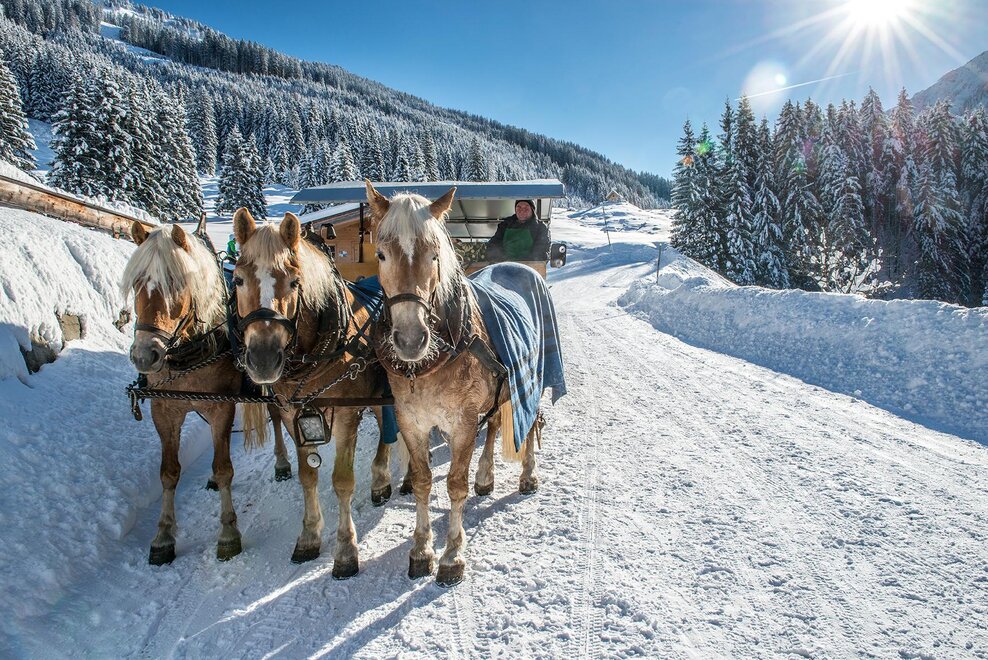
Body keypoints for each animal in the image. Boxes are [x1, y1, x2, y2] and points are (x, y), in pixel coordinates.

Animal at [122, 221, 293, 565]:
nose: (145, 356)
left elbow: (224, 467)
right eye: (136, 283)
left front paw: (228, 533)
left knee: (276, 416)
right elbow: (168, 472)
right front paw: (163, 536)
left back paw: (282, 463)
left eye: (176, 282)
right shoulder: (164, 411)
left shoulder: (220, 408)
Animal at [231, 208, 397, 576]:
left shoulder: (348, 412)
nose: (263, 359)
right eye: (237, 280)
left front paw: (346, 551)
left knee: (388, 429)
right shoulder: (293, 413)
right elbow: (308, 477)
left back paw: (382, 480)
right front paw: (309, 536)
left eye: (294, 281)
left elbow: (342, 480)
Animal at [366, 181, 558, 586]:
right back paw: (486, 476)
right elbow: (423, 481)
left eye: (435, 254)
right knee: (497, 423)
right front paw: (421, 550)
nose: (411, 340)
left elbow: (455, 484)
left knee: (529, 422)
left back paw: (528, 474)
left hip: (532, 376)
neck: (431, 363)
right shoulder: (411, 421)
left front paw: (452, 555)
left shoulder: (463, 423)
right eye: (381, 254)